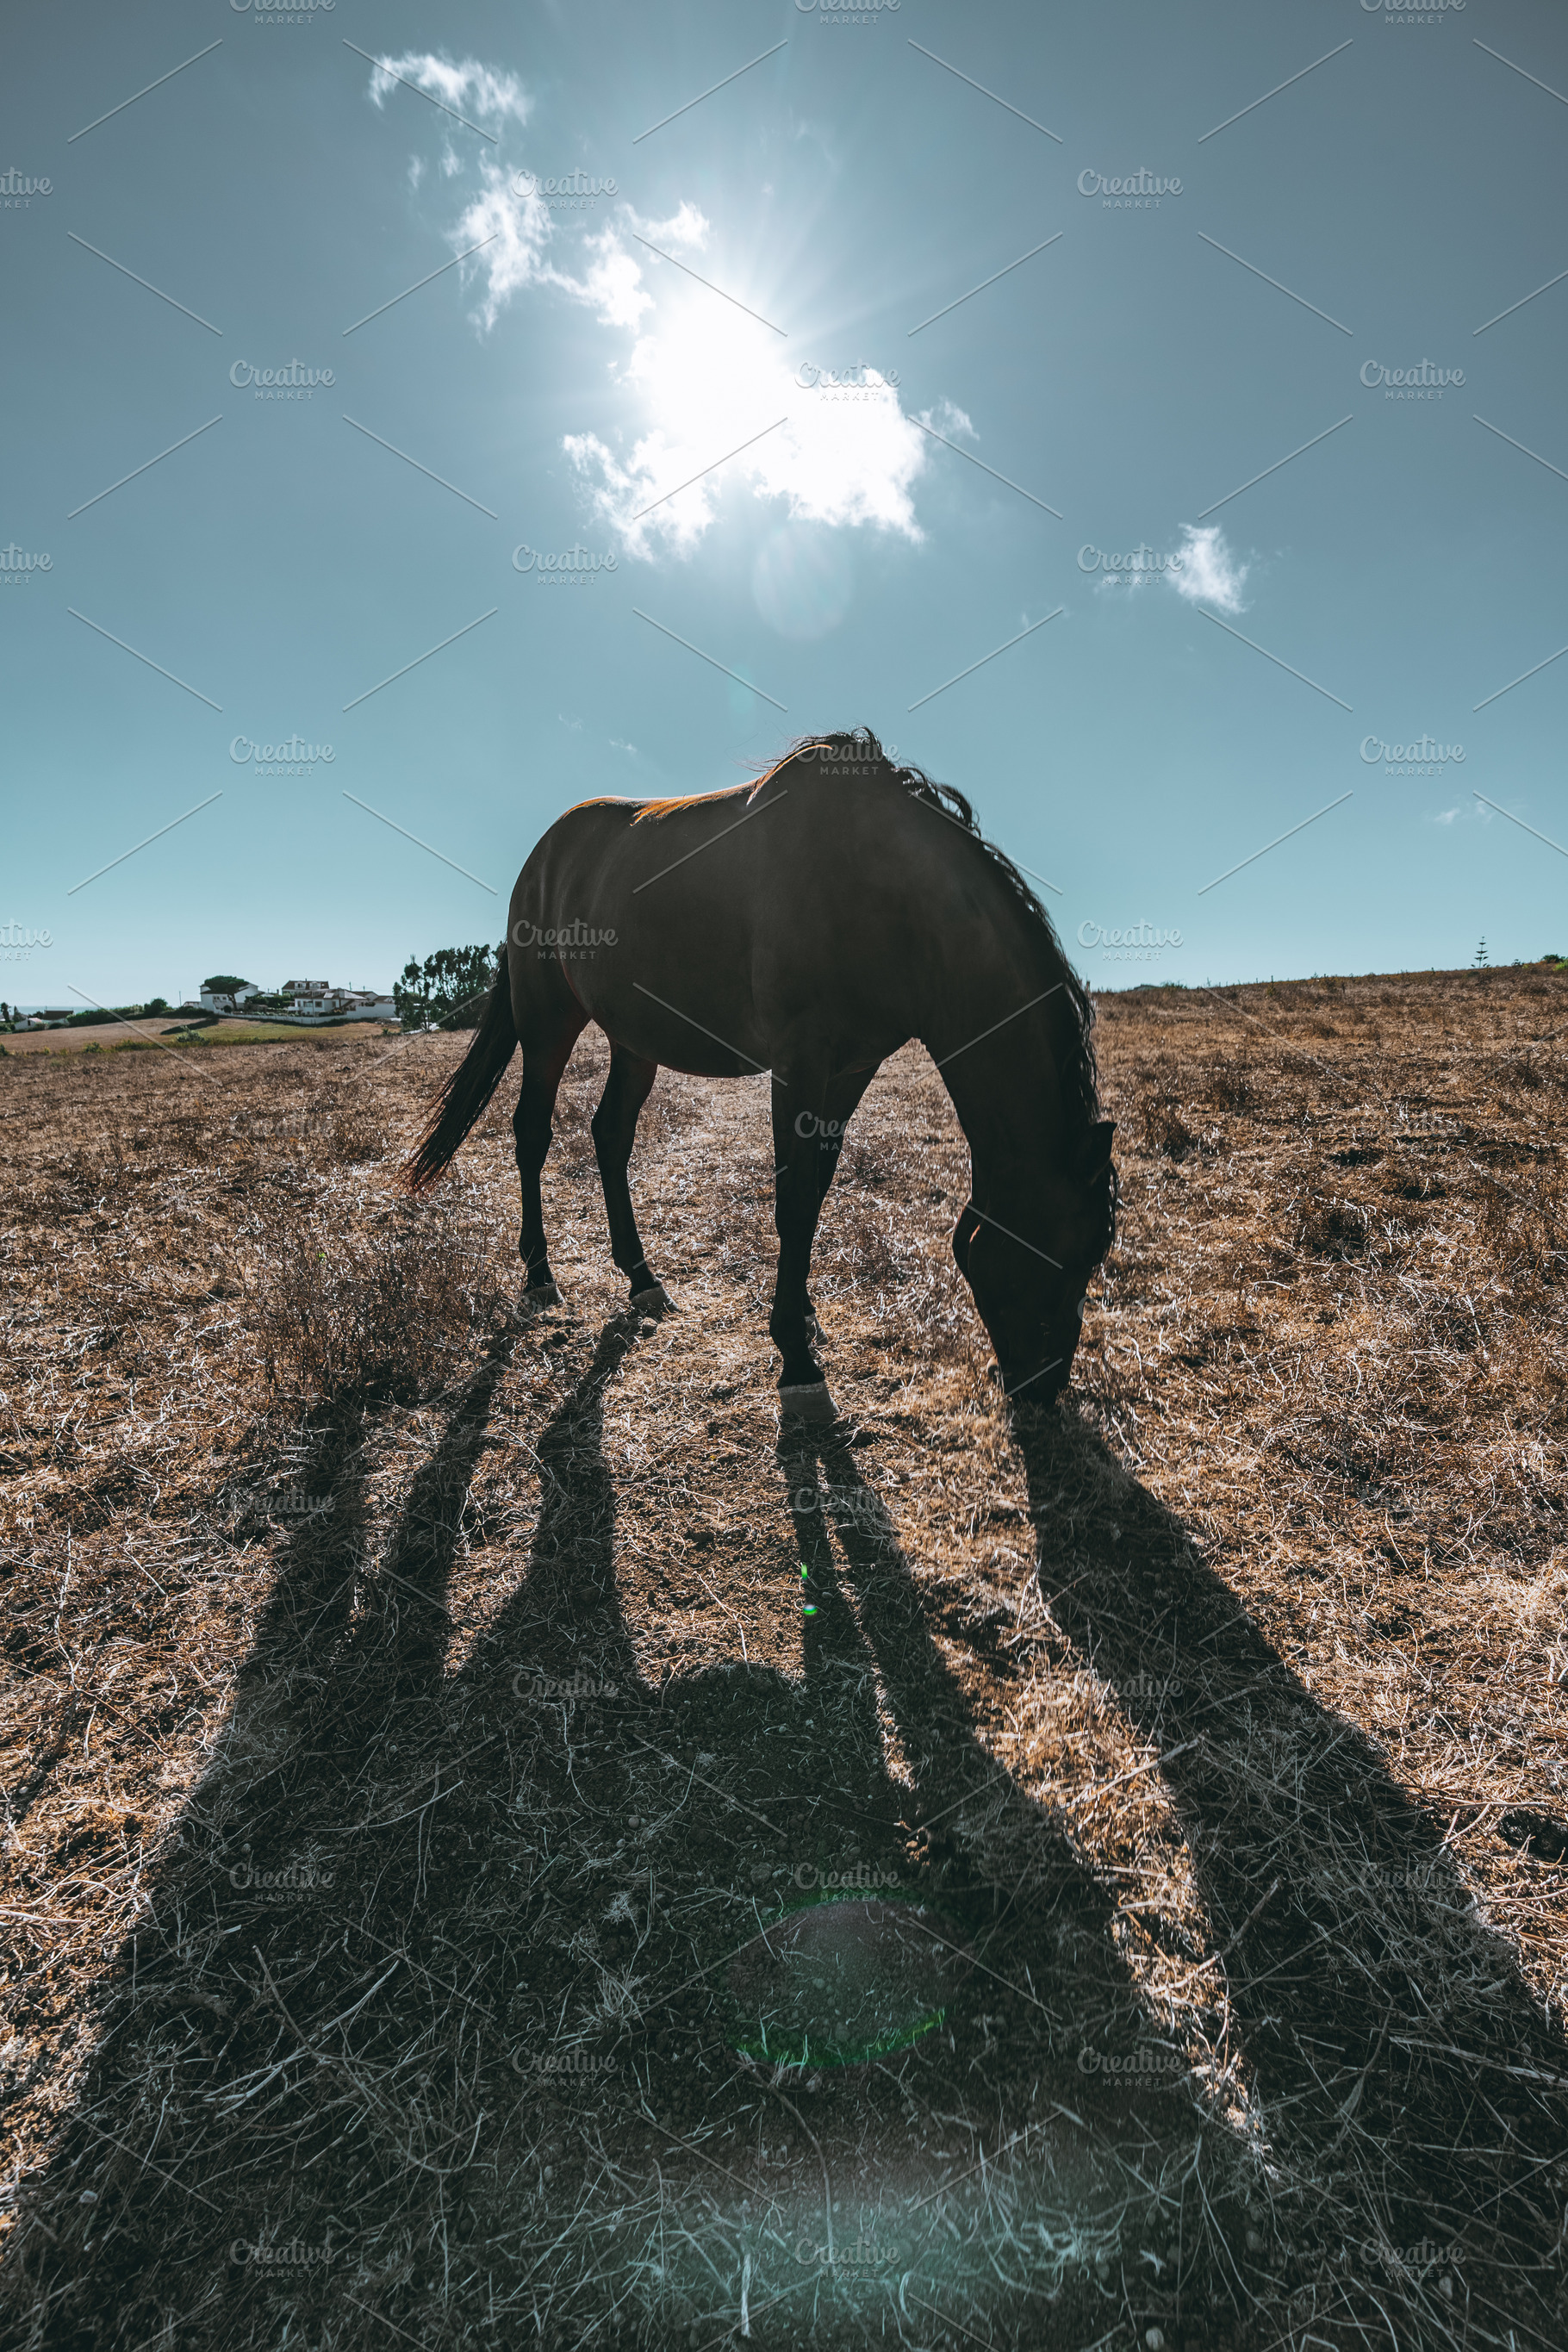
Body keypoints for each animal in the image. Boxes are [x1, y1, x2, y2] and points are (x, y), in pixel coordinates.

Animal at [401, 731, 1116, 1419]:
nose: (1042, 1392)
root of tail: (541, 859)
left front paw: (804, 1317)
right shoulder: (800, 1062)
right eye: (1068, 1253)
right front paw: (797, 1362)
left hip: (635, 1040)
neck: (887, 895)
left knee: (610, 1136)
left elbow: (816, 1189)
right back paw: (540, 1275)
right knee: (532, 1132)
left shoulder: (851, 1067)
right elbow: (794, 1200)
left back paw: (642, 1278)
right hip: (548, 1020)